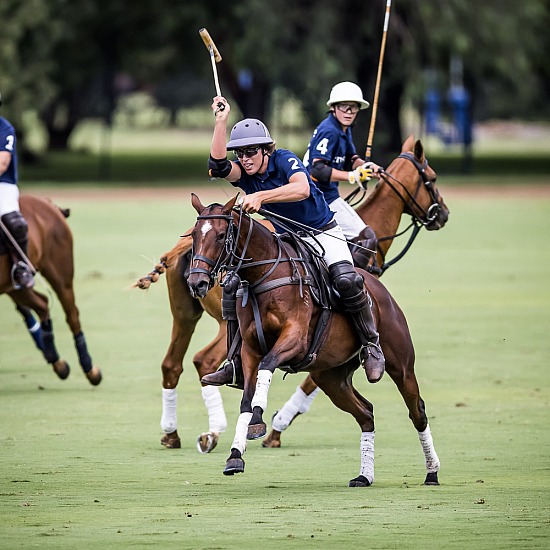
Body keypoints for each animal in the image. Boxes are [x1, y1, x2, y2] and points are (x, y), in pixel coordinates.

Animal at [0, 196, 102, 386]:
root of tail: (46, 202)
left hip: (60, 274)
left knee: (71, 315)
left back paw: (90, 370)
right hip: (12, 285)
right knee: (42, 304)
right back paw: (56, 361)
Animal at [136, 137, 450, 452]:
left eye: (222, 235)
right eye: (432, 178)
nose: (443, 214)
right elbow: (308, 382)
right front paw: (275, 428)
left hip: (185, 314)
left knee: (172, 364)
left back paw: (172, 434)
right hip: (219, 318)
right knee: (204, 360)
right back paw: (210, 432)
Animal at [188, 194, 442, 488]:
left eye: (220, 235)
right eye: (194, 235)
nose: (196, 282)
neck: (264, 275)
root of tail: (379, 287)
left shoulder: (295, 338)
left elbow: (268, 365)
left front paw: (258, 421)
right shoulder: (250, 349)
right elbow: (246, 400)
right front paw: (235, 456)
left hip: (400, 363)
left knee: (417, 410)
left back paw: (432, 471)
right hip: (331, 376)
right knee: (366, 413)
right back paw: (364, 476)